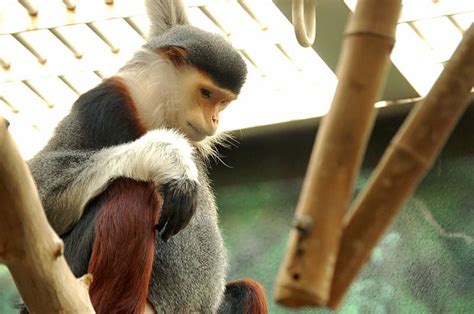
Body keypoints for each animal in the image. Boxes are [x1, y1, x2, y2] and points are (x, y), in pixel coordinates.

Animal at [25, 0, 268, 312]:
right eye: (206, 94)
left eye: (223, 102)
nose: (215, 119)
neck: (150, 113)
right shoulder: (103, 103)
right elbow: (40, 190)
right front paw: (166, 157)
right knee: (133, 191)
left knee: (248, 291)